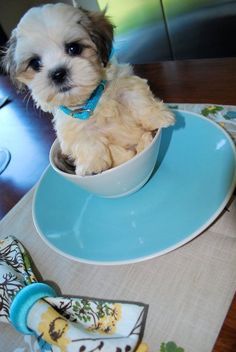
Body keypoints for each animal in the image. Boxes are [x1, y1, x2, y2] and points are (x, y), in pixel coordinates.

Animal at [1, 1, 175, 175]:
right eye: (35, 63)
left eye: (73, 48)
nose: (58, 73)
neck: (93, 99)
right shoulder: (70, 125)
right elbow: (83, 138)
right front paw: (93, 164)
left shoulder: (123, 81)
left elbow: (135, 96)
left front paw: (158, 116)